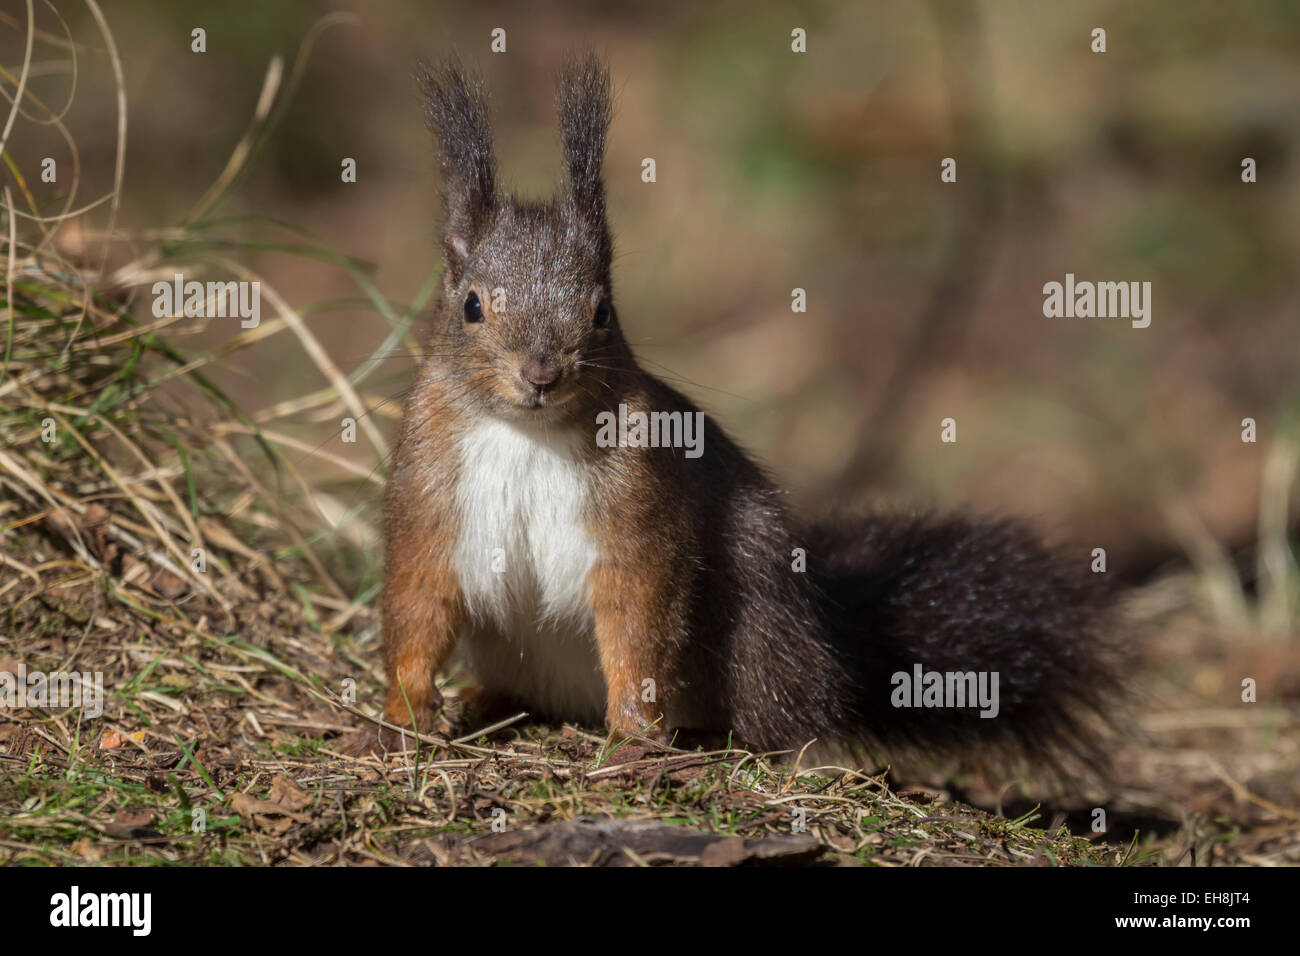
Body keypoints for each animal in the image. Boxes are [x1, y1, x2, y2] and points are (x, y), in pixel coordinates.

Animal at [343, 52, 1118, 775]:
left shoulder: (639, 506)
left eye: (602, 311)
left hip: (753, 621)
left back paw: (716, 737)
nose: (541, 375)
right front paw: (401, 718)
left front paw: (633, 738)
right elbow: (417, 606)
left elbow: (638, 621)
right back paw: (487, 700)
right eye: (472, 305)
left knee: (781, 712)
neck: (529, 433)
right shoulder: (428, 496)